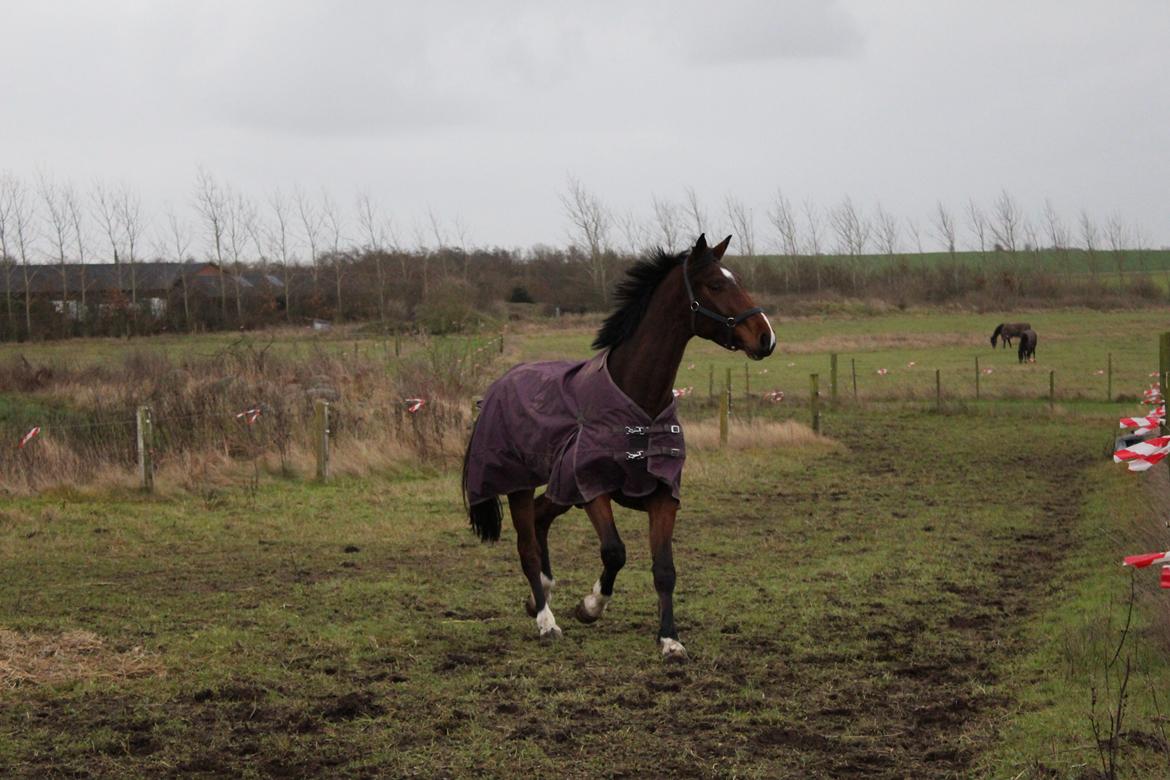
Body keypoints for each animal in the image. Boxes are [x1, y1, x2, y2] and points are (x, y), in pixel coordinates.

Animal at [458, 235, 776, 664]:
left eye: (737, 279)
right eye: (715, 284)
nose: (766, 338)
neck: (637, 400)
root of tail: (499, 384)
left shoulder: (663, 495)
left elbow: (665, 569)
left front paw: (670, 640)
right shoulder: (593, 488)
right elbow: (614, 552)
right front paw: (590, 606)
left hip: (559, 487)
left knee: (541, 519)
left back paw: (541, 592)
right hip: (521, 484)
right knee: (527, 545)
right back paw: (546, 621)